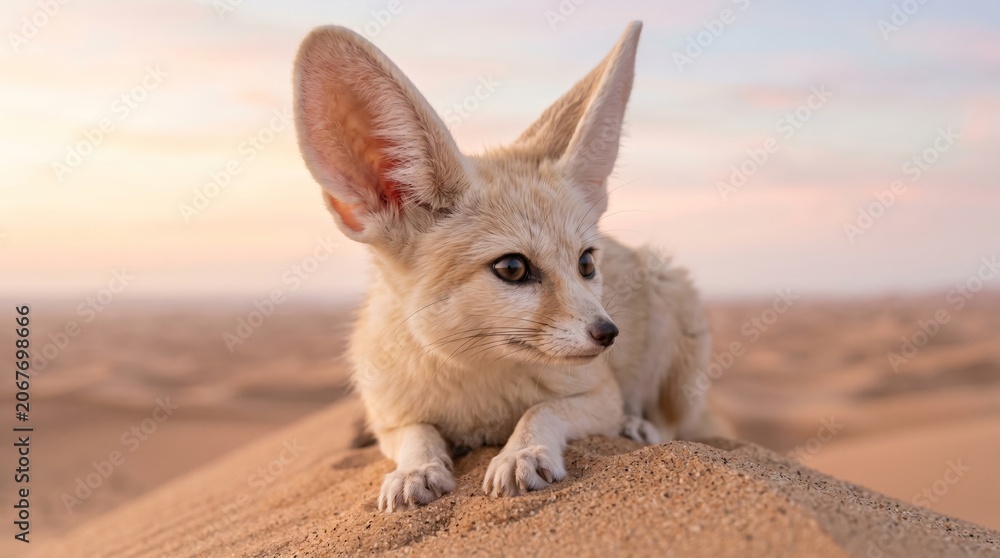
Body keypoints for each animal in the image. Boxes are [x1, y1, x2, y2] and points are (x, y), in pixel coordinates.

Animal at [293, 20, 725, 512]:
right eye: (514, 268)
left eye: (585, 262)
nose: (609, 333)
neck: (477, 381)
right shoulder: (390, 418)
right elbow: (417, 433)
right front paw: (414, 471)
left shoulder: (601, 393)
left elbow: (542, 409)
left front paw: (523, 453)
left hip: (672, 295)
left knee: (675, 422)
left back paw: (641, 427)